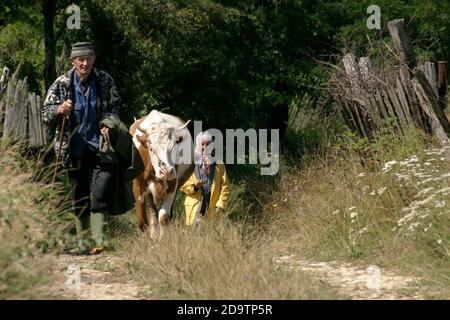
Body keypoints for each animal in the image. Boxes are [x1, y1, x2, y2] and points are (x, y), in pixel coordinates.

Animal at [130, 110, 193, 238]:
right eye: (151, 148)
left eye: (174, 147)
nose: (167, 171)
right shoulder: (137, 186)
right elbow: (142, 221)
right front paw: (150, 238)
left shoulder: (173, 185)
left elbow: (163, 216)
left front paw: (163, 238)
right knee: (152, 211)